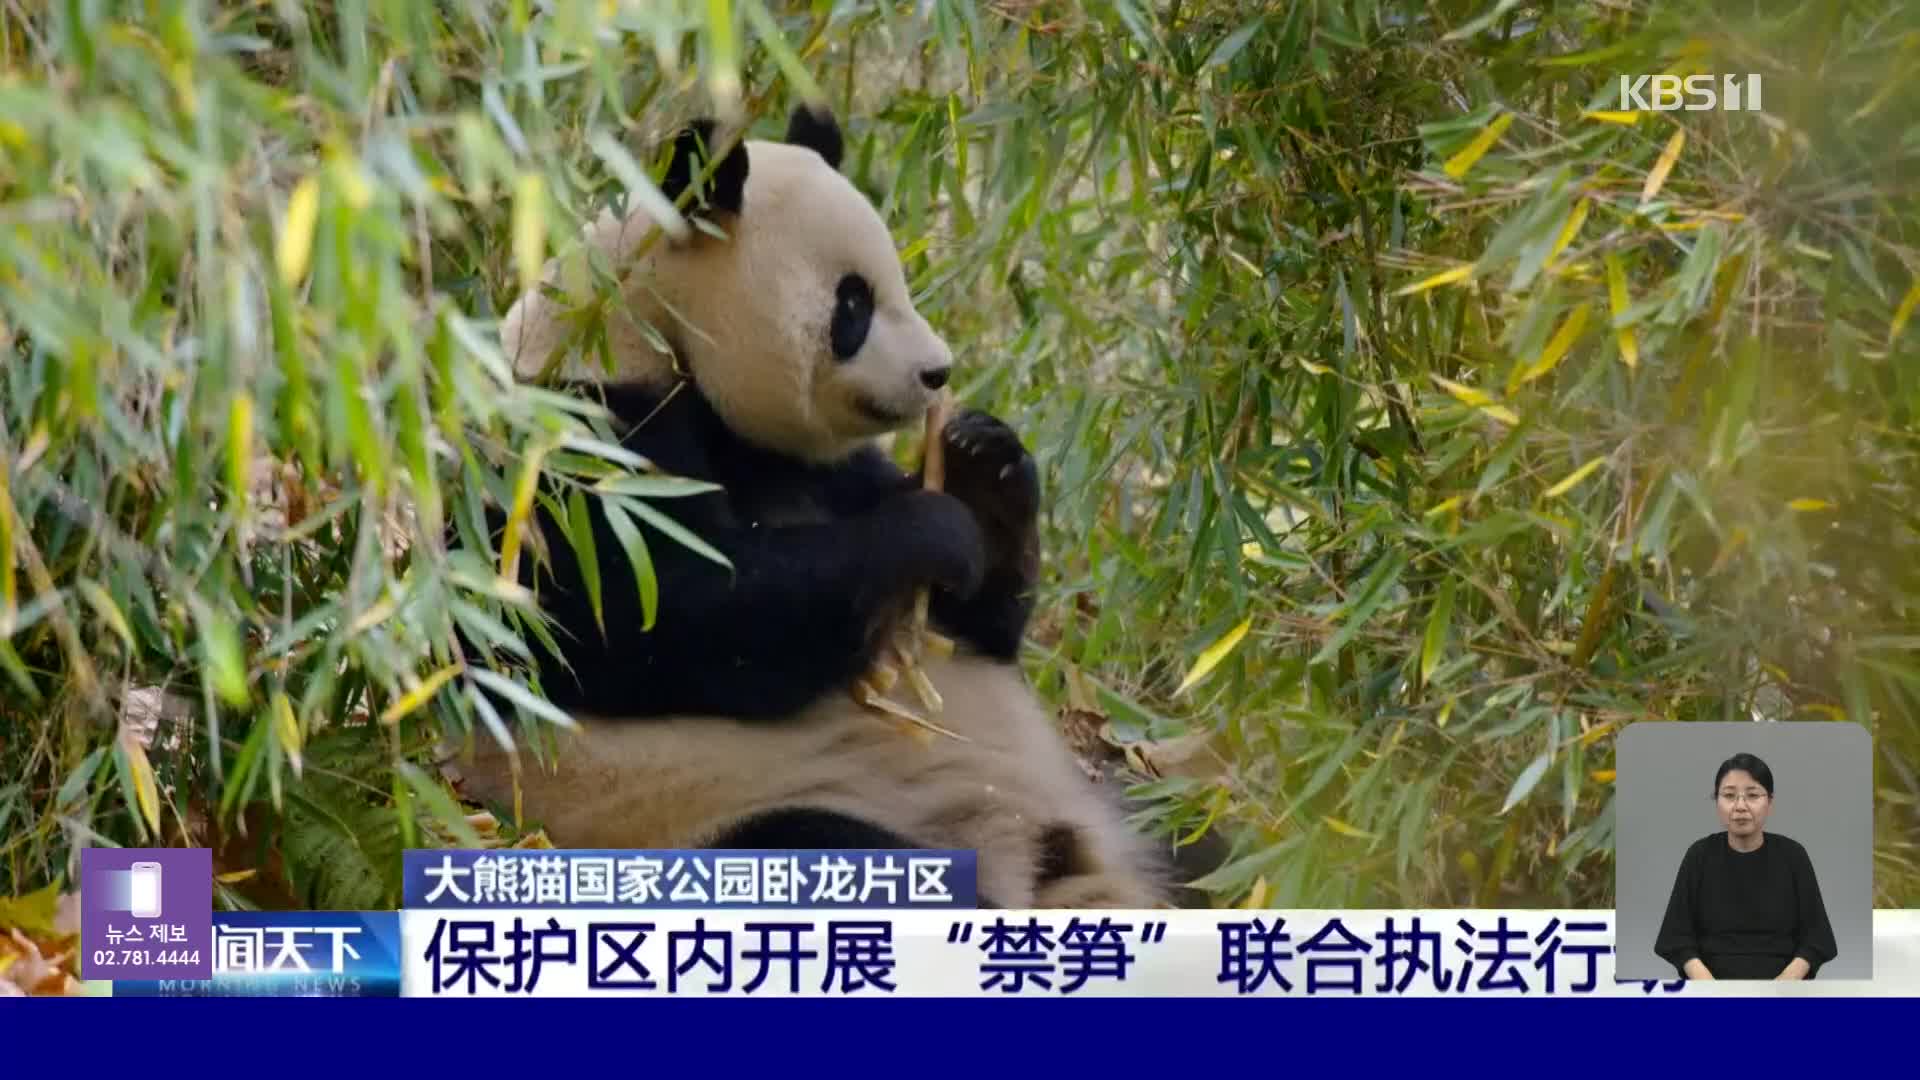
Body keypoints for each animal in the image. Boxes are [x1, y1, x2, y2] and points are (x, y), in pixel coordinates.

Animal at [445, 102, 1213, 907]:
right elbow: (672, 620)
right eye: (854, 303)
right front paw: (934, 530)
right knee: (841, 856)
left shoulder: (811, 462)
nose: (938, 371)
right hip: (730, 819)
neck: (646, 324)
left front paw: (983, 464)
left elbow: (975, 623)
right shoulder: (571, 454)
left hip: (1121, 788)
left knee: (1200, 833)